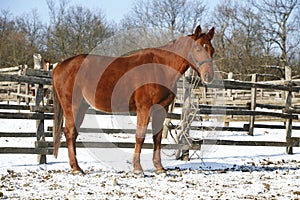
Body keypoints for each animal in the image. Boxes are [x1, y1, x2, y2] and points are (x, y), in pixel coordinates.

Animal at [52, 25, 214, 174]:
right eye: (198, 49)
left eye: (212, 50)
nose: (208, 76)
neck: (159, 68)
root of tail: (59, 66)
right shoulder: (144, 108)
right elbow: (140, 136)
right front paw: (138, 168)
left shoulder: (161, 109)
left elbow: (157, 138)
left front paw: (159, 168)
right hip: (72, 106)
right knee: (69, 132)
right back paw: (76, 168)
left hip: (81, 107)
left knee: (73, 134)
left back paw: (77, 167)